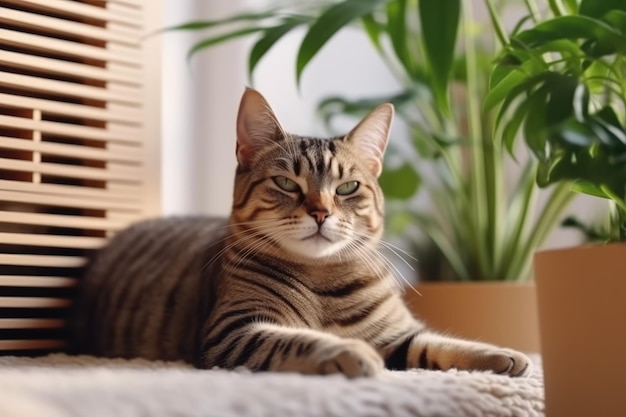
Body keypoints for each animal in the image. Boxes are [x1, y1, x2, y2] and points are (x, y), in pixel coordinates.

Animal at [69, 88, 532, 376]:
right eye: (287, 184)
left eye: (347, 188)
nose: (321, 212)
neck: (326, 282)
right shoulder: (235, 331)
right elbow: (300, 341)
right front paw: (348, 351)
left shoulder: (397, 335)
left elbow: (439, 343)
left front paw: (505, 356)